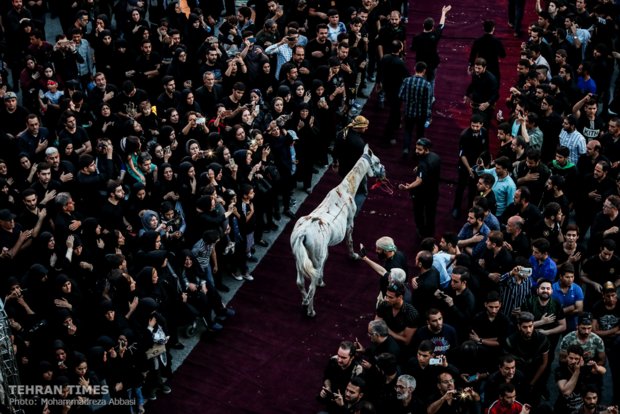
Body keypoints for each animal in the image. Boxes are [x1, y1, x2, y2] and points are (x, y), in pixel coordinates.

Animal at [290, 146, 382, 316]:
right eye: (377, 162)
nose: (383, 172)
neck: (346, 190)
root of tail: (302, 234)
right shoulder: (350, 222)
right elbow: (350, 240)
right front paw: (353, 256)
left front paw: (322, 281)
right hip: (314, 259)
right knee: (311, 285)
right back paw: (311, 311)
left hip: (298, 258)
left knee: (300, 282)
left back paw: (304, 301)